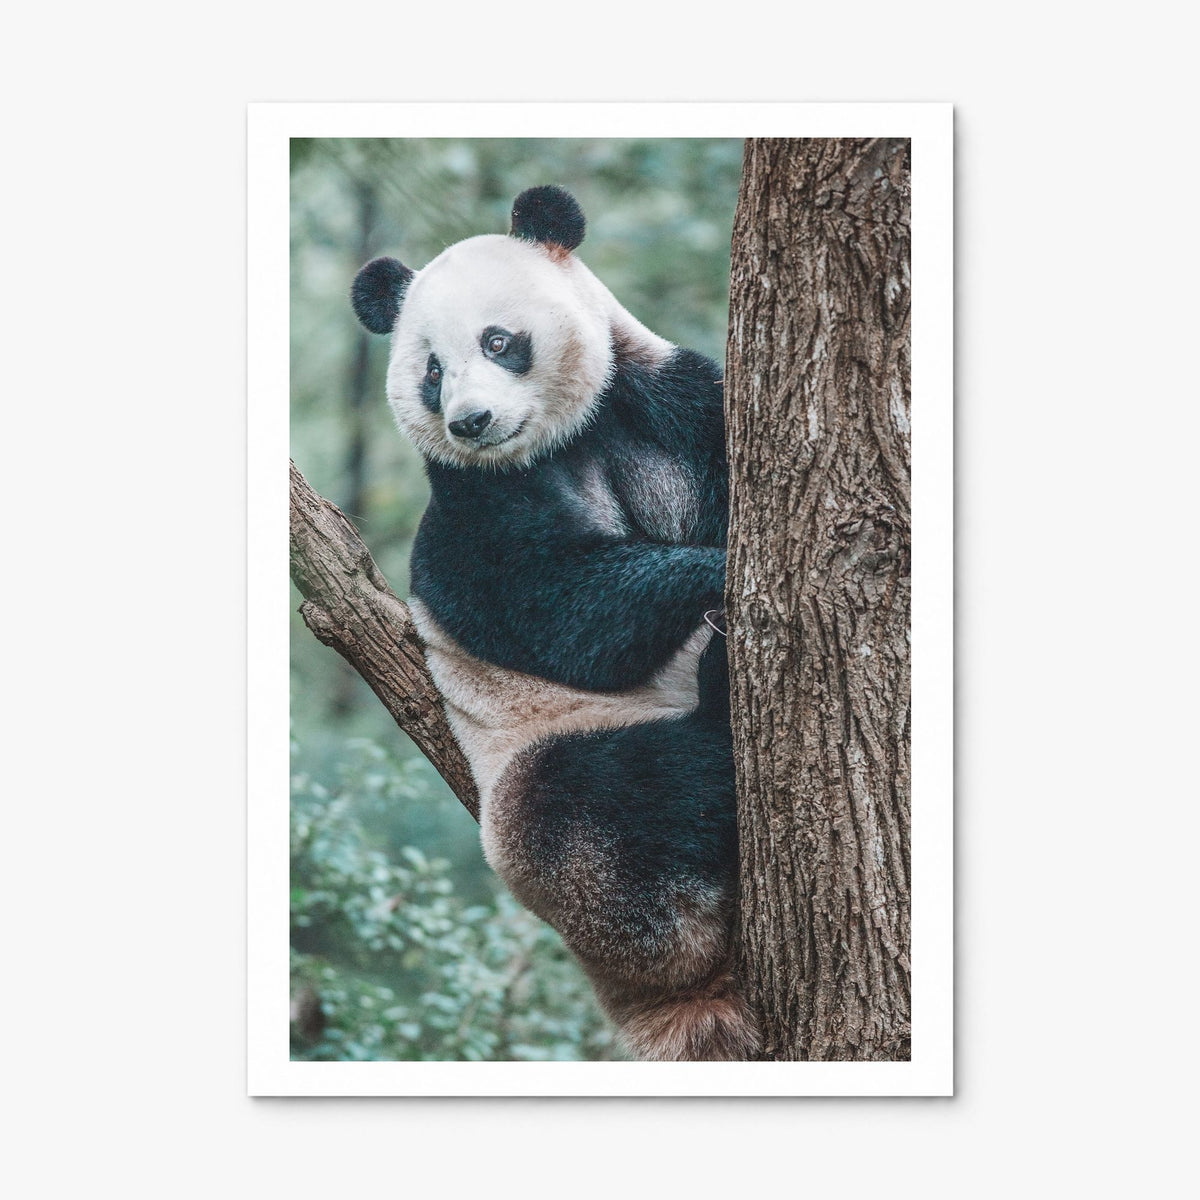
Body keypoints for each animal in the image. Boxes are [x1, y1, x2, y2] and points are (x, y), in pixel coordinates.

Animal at [351, 185, 759, 1061]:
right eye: (431, 371)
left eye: (498, 341)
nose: (471, 421)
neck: (561, 440)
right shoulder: (470, 513)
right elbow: (563, 611)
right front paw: (715, 573)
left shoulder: (669, 405)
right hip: (541, 794)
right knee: (609, 804)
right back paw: (711, 708)